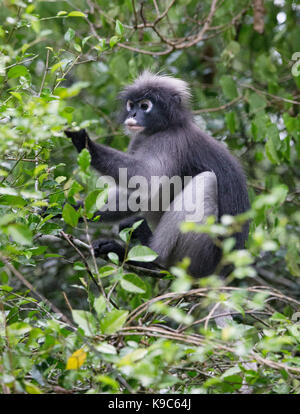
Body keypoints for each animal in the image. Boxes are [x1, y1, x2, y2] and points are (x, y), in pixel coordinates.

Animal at [64, 71, 250, 278]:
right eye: (131, 105)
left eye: (145, 106)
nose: (133, 115)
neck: (159, 130)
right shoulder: (139, 139)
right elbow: (136, 194)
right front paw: (69, 208)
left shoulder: (170, 141)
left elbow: (146, 178)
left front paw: (86, 143)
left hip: (202, 258)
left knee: (206, 181)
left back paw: (150, 259)